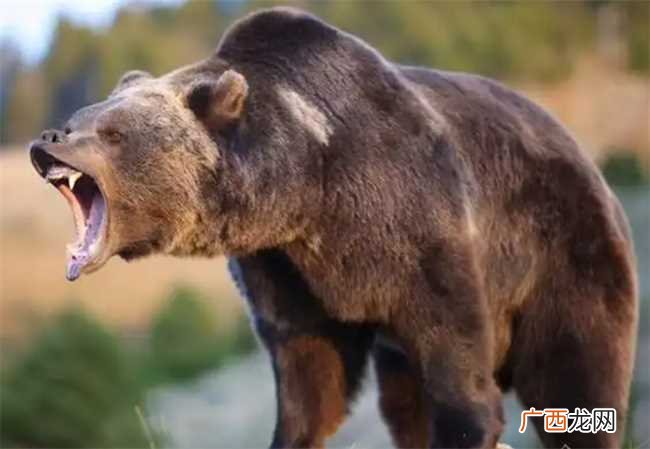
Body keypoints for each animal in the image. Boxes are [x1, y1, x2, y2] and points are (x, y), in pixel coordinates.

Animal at [29, 7, 638, 449]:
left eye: (112, 133)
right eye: (78, 118)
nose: (48, 138)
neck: (309, 190)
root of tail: (589, 161)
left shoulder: (421, 230)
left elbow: (456, 366)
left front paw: (471, 423)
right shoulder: (285, 270)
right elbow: (311, 380)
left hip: (567, 256)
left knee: (578, 372)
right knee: (403, 402)